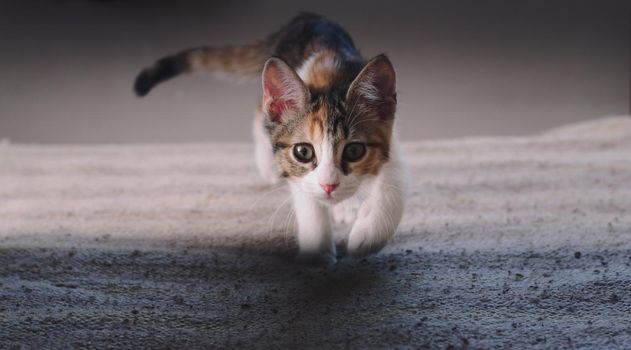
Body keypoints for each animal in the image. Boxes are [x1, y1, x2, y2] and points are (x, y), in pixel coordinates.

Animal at [136, 14, 408, 266]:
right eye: (304, 152)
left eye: (354, 151)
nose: (329, 186)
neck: (331, 77)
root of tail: (307, 17)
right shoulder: (294, 166)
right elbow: (306, 197)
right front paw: (318, 252)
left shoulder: (391, 140)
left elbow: (393, 185)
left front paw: (368, 235)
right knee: (261, 111)